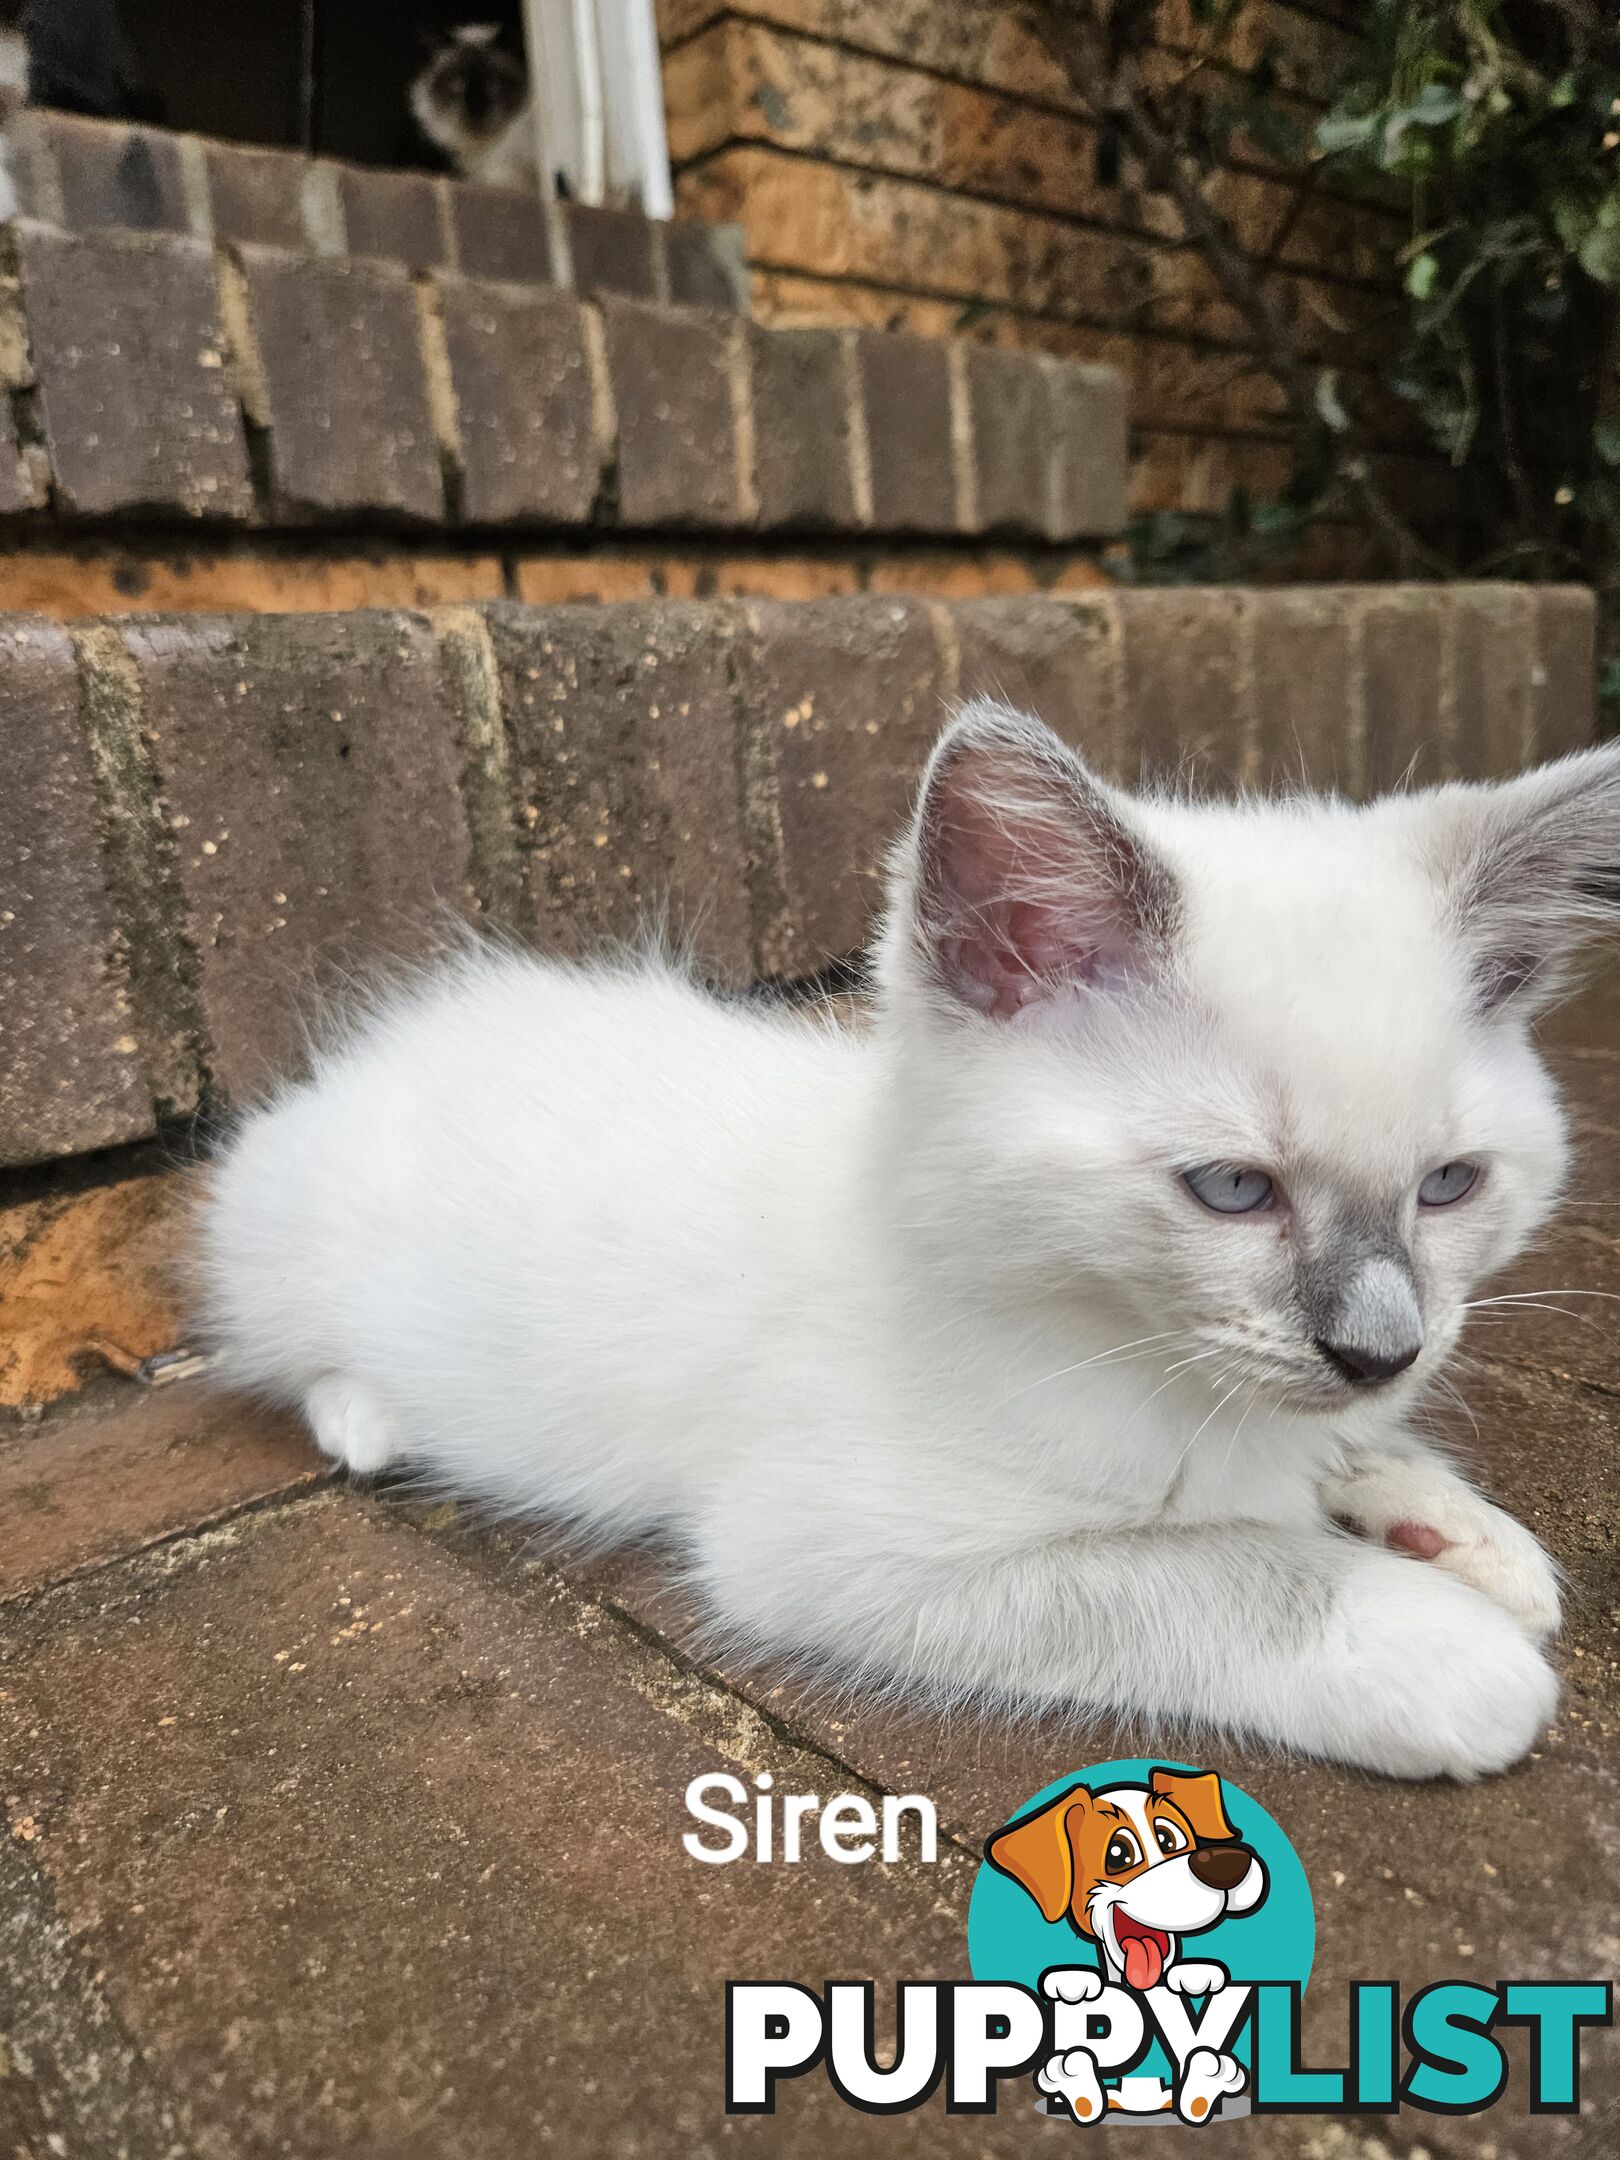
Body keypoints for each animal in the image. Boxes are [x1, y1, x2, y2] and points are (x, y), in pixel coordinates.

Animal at [193, 699, 1620, 1779]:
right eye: (1232, 1189)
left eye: (1448, 1186)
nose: (1381, 1352)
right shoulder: (824, 1547)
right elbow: (1200, 1570)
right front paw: (1435, 1642)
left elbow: (1319, 1469)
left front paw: (1444, 1522)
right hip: (285, 1245)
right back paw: (370, 1421)